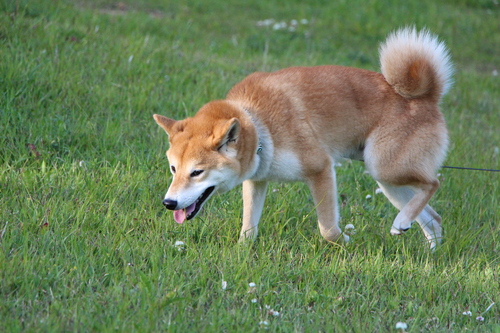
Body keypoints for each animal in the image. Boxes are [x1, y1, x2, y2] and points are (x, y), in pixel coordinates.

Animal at [154, 27, 456, 248]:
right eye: (173, 169)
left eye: (197, 172)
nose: (168, 204)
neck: (260, 123)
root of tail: (426, 97)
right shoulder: (257, 180)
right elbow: (248, 227)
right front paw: (242, 252)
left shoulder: (321, 169)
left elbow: (328, 229)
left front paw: (346, 240)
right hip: (387, 178)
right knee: (434, 217)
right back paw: (426, 250)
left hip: (385, 166)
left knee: (434, 183)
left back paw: (403, 223)